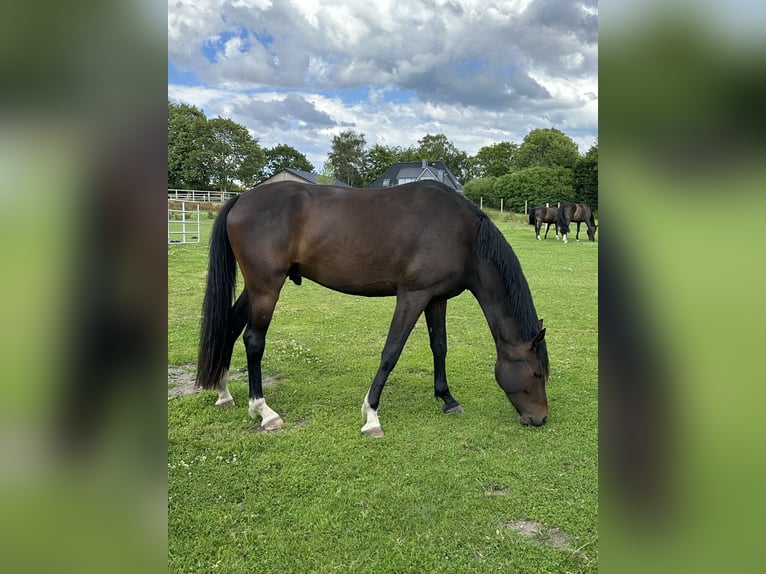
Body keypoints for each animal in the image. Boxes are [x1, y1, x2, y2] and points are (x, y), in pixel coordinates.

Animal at [195, 182, 548, 438]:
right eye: (536, 373)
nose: (540, 418)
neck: (464, 237)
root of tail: (241, 198)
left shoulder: (436, 298)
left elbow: (439, 347)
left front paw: (447, 399)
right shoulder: (412, 296)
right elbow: (392, 351)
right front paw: (372, 414)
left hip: (256, 287)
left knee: (229, 326)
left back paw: (224, 393)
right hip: (266, 286)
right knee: (253, 340)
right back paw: (264, 412)